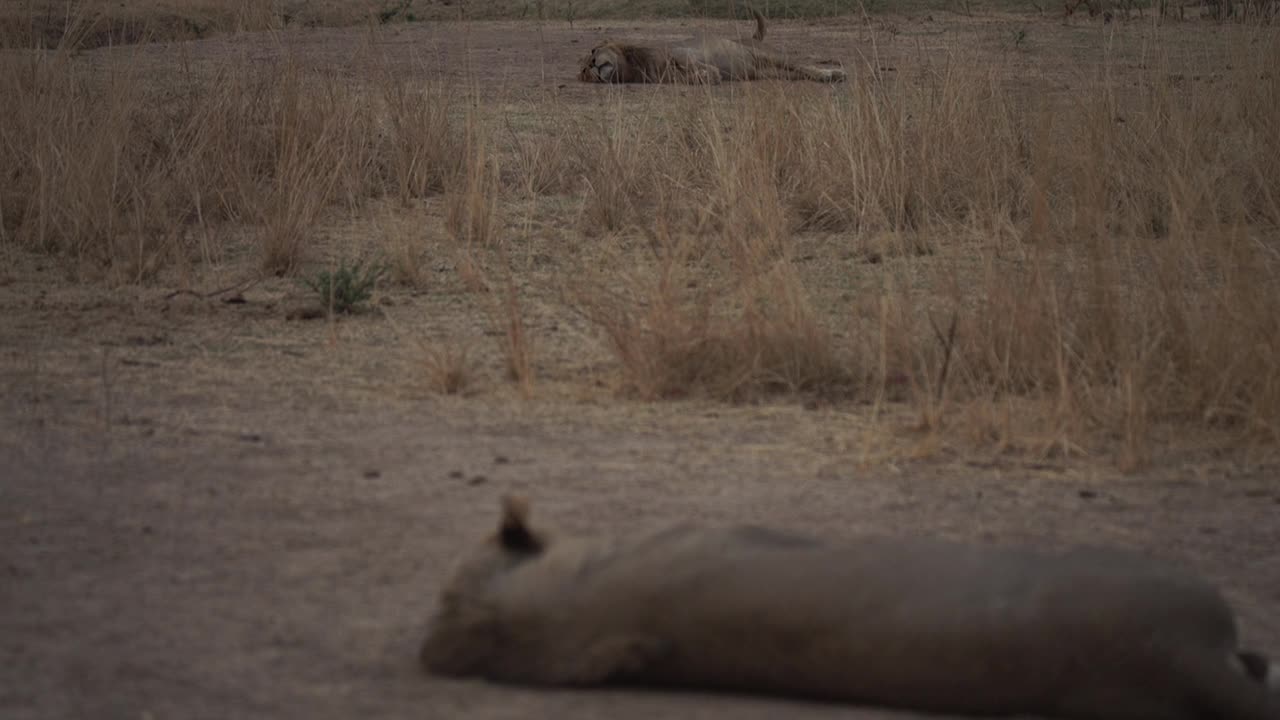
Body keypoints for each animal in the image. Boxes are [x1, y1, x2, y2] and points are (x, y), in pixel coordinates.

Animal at [576, 8, 844, 85]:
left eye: (592, 52)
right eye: (584, 72)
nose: (593, 65)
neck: (633, 66)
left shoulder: (681, 53)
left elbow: (694, 64)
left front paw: (708, 72)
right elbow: (696, 77)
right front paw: (707, 75)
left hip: (767, 56)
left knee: (803, 66)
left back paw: (832, 74)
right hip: (765, 72)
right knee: (793, 73)